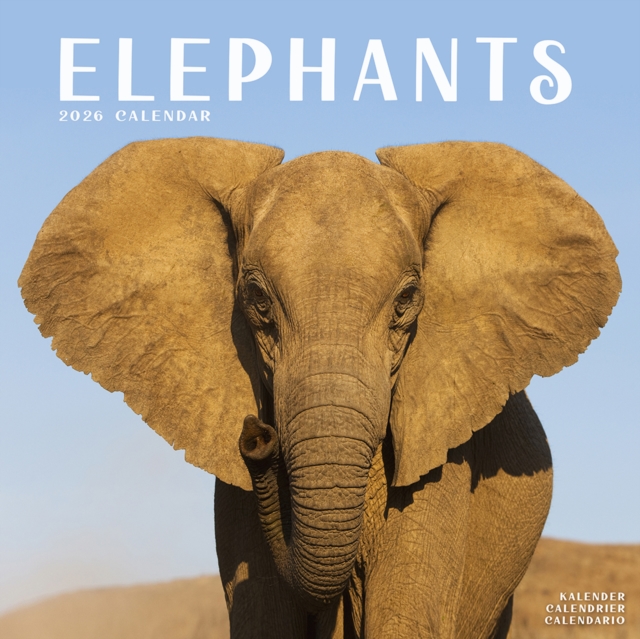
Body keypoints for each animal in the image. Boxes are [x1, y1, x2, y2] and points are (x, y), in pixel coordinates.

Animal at [19, 137, 620, 638]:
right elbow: (263, 621)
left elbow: (404, 622)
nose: (257, 437)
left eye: (407, 301)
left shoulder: (445, 461)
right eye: (258, 301)